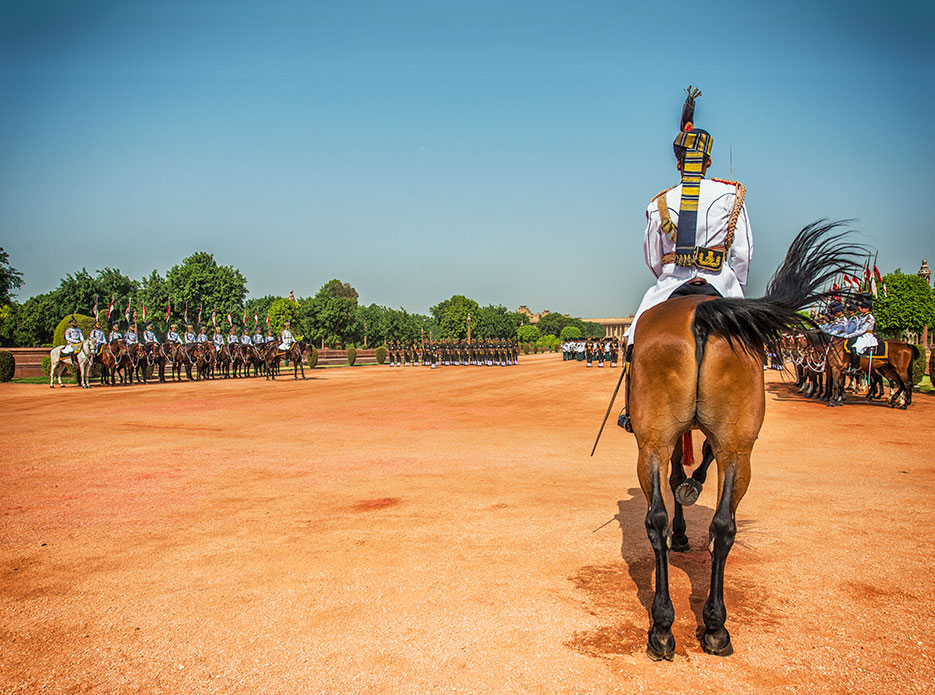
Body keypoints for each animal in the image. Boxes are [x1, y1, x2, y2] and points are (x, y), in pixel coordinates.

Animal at [628, 224, 864, 664]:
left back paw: (687, 625)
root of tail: (700, 313)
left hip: (671, 441)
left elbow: (685, 473)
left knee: (688, 521)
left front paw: (688, 502)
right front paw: (688, 503)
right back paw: (689, 625)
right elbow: (687, 471)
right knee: (693, 521)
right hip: (696, 443)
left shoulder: (689, 438)